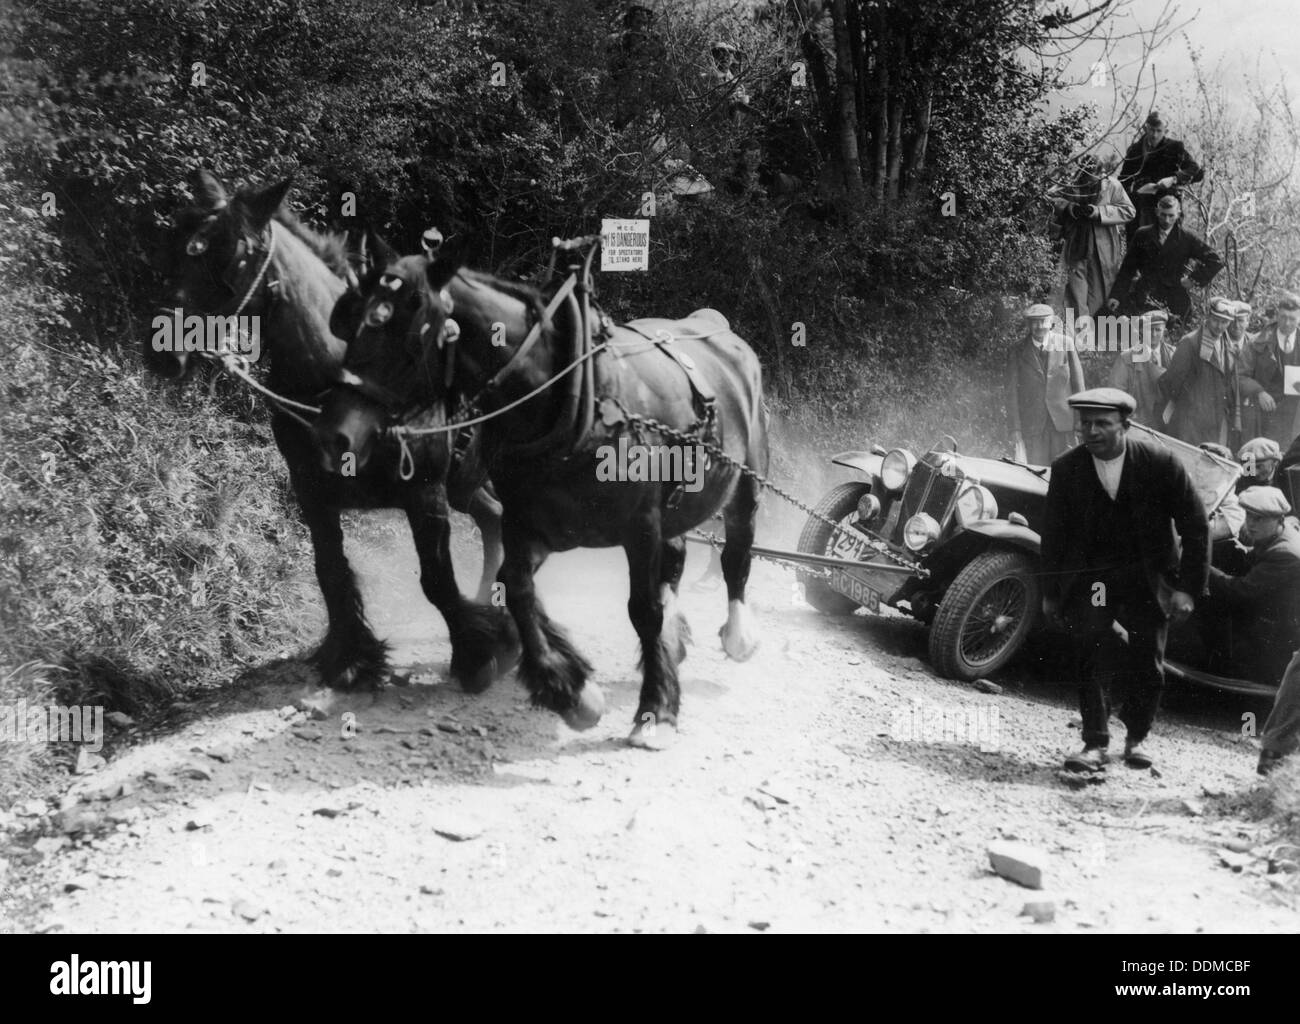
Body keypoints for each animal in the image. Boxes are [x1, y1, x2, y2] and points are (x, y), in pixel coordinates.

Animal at [146, 171, 512, 691]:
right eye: (177, 244)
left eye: (233, 254)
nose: (163, 350)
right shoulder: (311, 491)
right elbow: (331, 571)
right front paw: (350, 657)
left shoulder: (424, 491)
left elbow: (437, 579)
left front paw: (479, 655)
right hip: (463, 481)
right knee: (493, 516)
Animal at [313, 241, 764, 753]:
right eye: (353, 323)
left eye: (410, 337)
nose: (334, 434)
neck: (577, 406)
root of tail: (716, 326)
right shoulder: (530, 524)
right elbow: (515, 588)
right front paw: (568, 688)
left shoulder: (640, 528)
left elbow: (644, 611)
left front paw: (655, 711)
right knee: (677, 557)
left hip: (746, 480)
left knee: (737, 552)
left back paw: (738, 632)